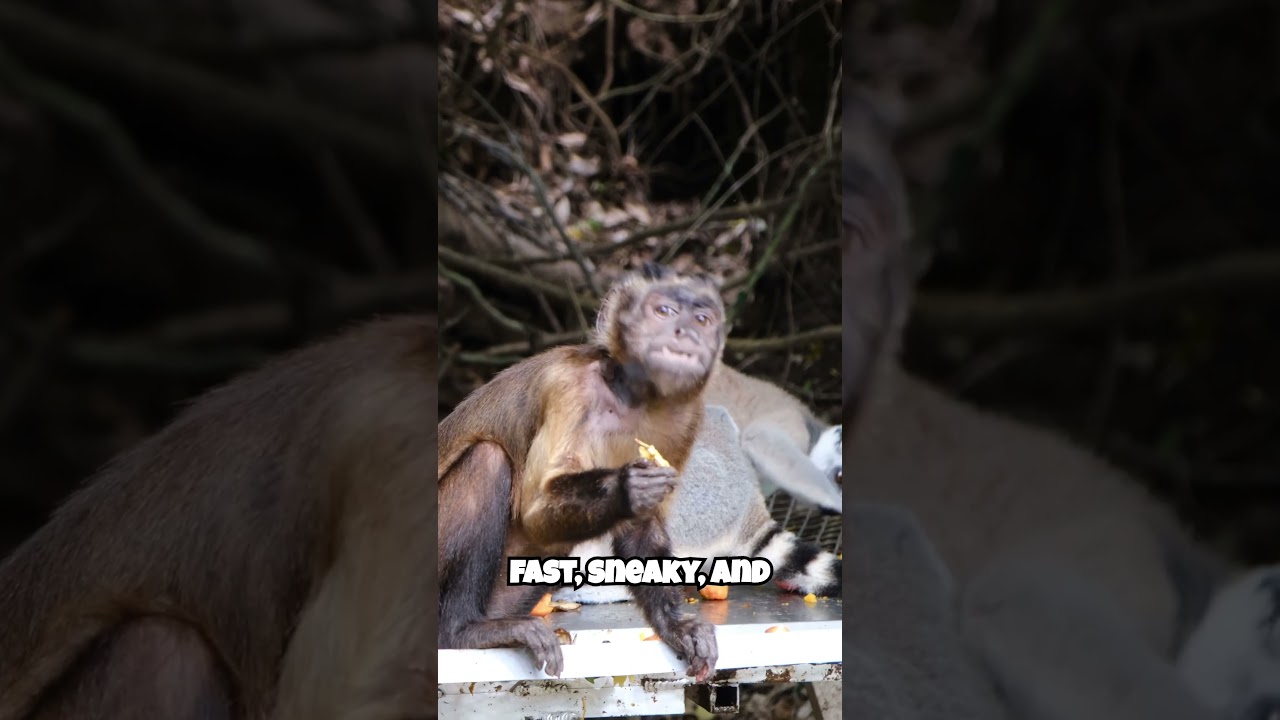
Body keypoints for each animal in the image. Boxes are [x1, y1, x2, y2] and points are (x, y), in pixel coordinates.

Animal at [436, 262, 723, 683]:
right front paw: (627, 489)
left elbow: (641, 529)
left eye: (703, 320)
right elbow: (536, 510)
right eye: (664, 311)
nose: (687, 333)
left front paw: (675, 624)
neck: (629, 395)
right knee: (488, 459)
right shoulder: (569, 387)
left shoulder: (687, 416)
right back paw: (461, 630)